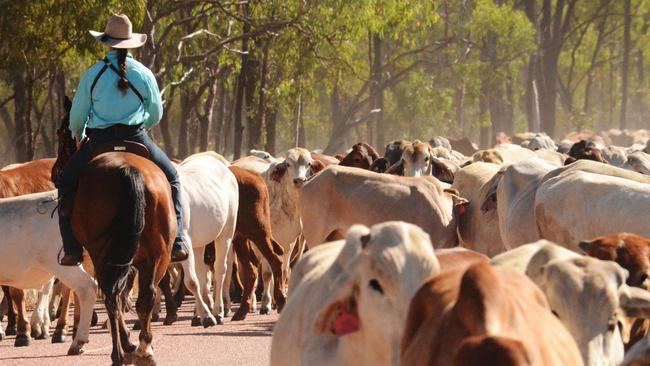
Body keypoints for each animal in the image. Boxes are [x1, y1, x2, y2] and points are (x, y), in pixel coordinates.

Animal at [54, 106, 173, 366]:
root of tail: (128, 170)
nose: (55, 171)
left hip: (102, 252)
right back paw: (145, 350)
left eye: (61, 132)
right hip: (159, 254)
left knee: (111, 295)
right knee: (145, 296)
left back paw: (118, 354)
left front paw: (125, 343)